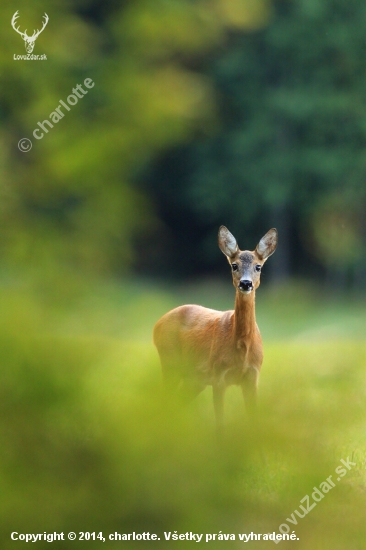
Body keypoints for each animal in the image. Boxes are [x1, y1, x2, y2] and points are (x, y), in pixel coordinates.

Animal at [152, 226, 278, 438]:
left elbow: (255, 424)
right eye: (234, 265)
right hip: (169, 362)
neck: (242, 347)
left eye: (258, 267)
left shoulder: (253, 377)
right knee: (161, 403)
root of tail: (156, 325)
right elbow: (220, 425)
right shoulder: (218, 376)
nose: (246, 283)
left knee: (173, 405)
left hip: (194, 380)